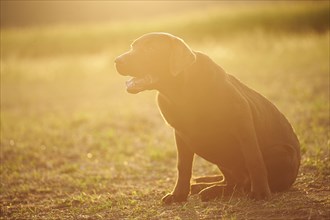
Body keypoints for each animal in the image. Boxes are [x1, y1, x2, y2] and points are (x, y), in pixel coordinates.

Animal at [114, 32, 300, 203]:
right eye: (132, 47)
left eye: (150, 49)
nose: (117, 61)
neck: (181, 92)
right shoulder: (181, 134)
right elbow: (183, 166)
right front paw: (179, 195)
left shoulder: (243, 123)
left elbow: (254, 159)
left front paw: (261, 192)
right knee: (234, 180)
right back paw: (204, 185)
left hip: (282, 152)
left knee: (242, 182)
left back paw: (213, 189)